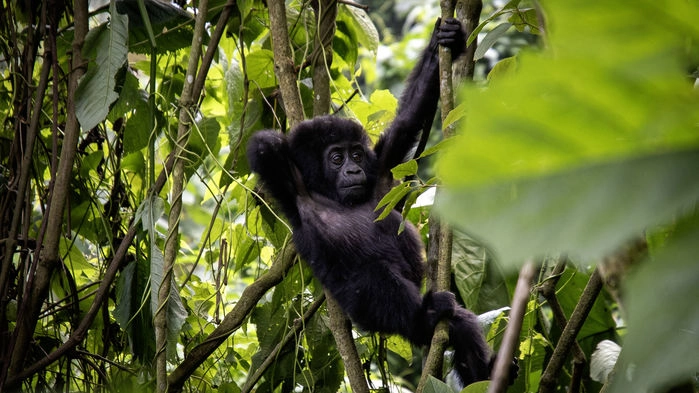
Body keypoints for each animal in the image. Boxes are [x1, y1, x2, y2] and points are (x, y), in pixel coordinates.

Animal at [246, 17, 492, 382]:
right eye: (337, 158)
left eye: (357, 155)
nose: (353, 170)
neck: (333, 197)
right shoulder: (294, 193)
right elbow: (264, 148)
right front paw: (280, 137)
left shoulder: (380, 172)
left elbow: (404, 125)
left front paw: (442, 40)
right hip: (372, 317)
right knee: (375, 281)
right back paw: (424, 317)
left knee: (460, 322)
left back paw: (486, 372)